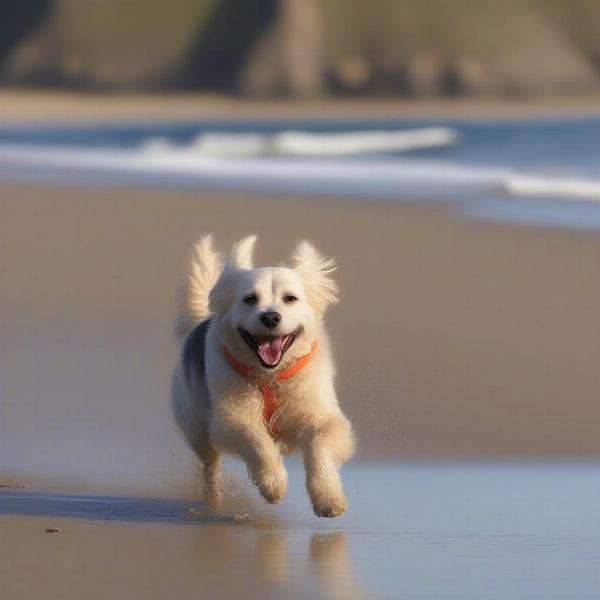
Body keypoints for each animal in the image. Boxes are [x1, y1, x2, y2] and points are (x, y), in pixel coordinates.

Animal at [171, 234, 354, 516]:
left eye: (290, 298)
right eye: (249, 299)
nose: (270, 317)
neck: (272, 376)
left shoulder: (326, 417)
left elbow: (319, 444)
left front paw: (328, 498)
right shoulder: (232, 418)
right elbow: (258, 442)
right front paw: (273, 483)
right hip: (197, 428)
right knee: (209, 465)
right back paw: (213, 495)